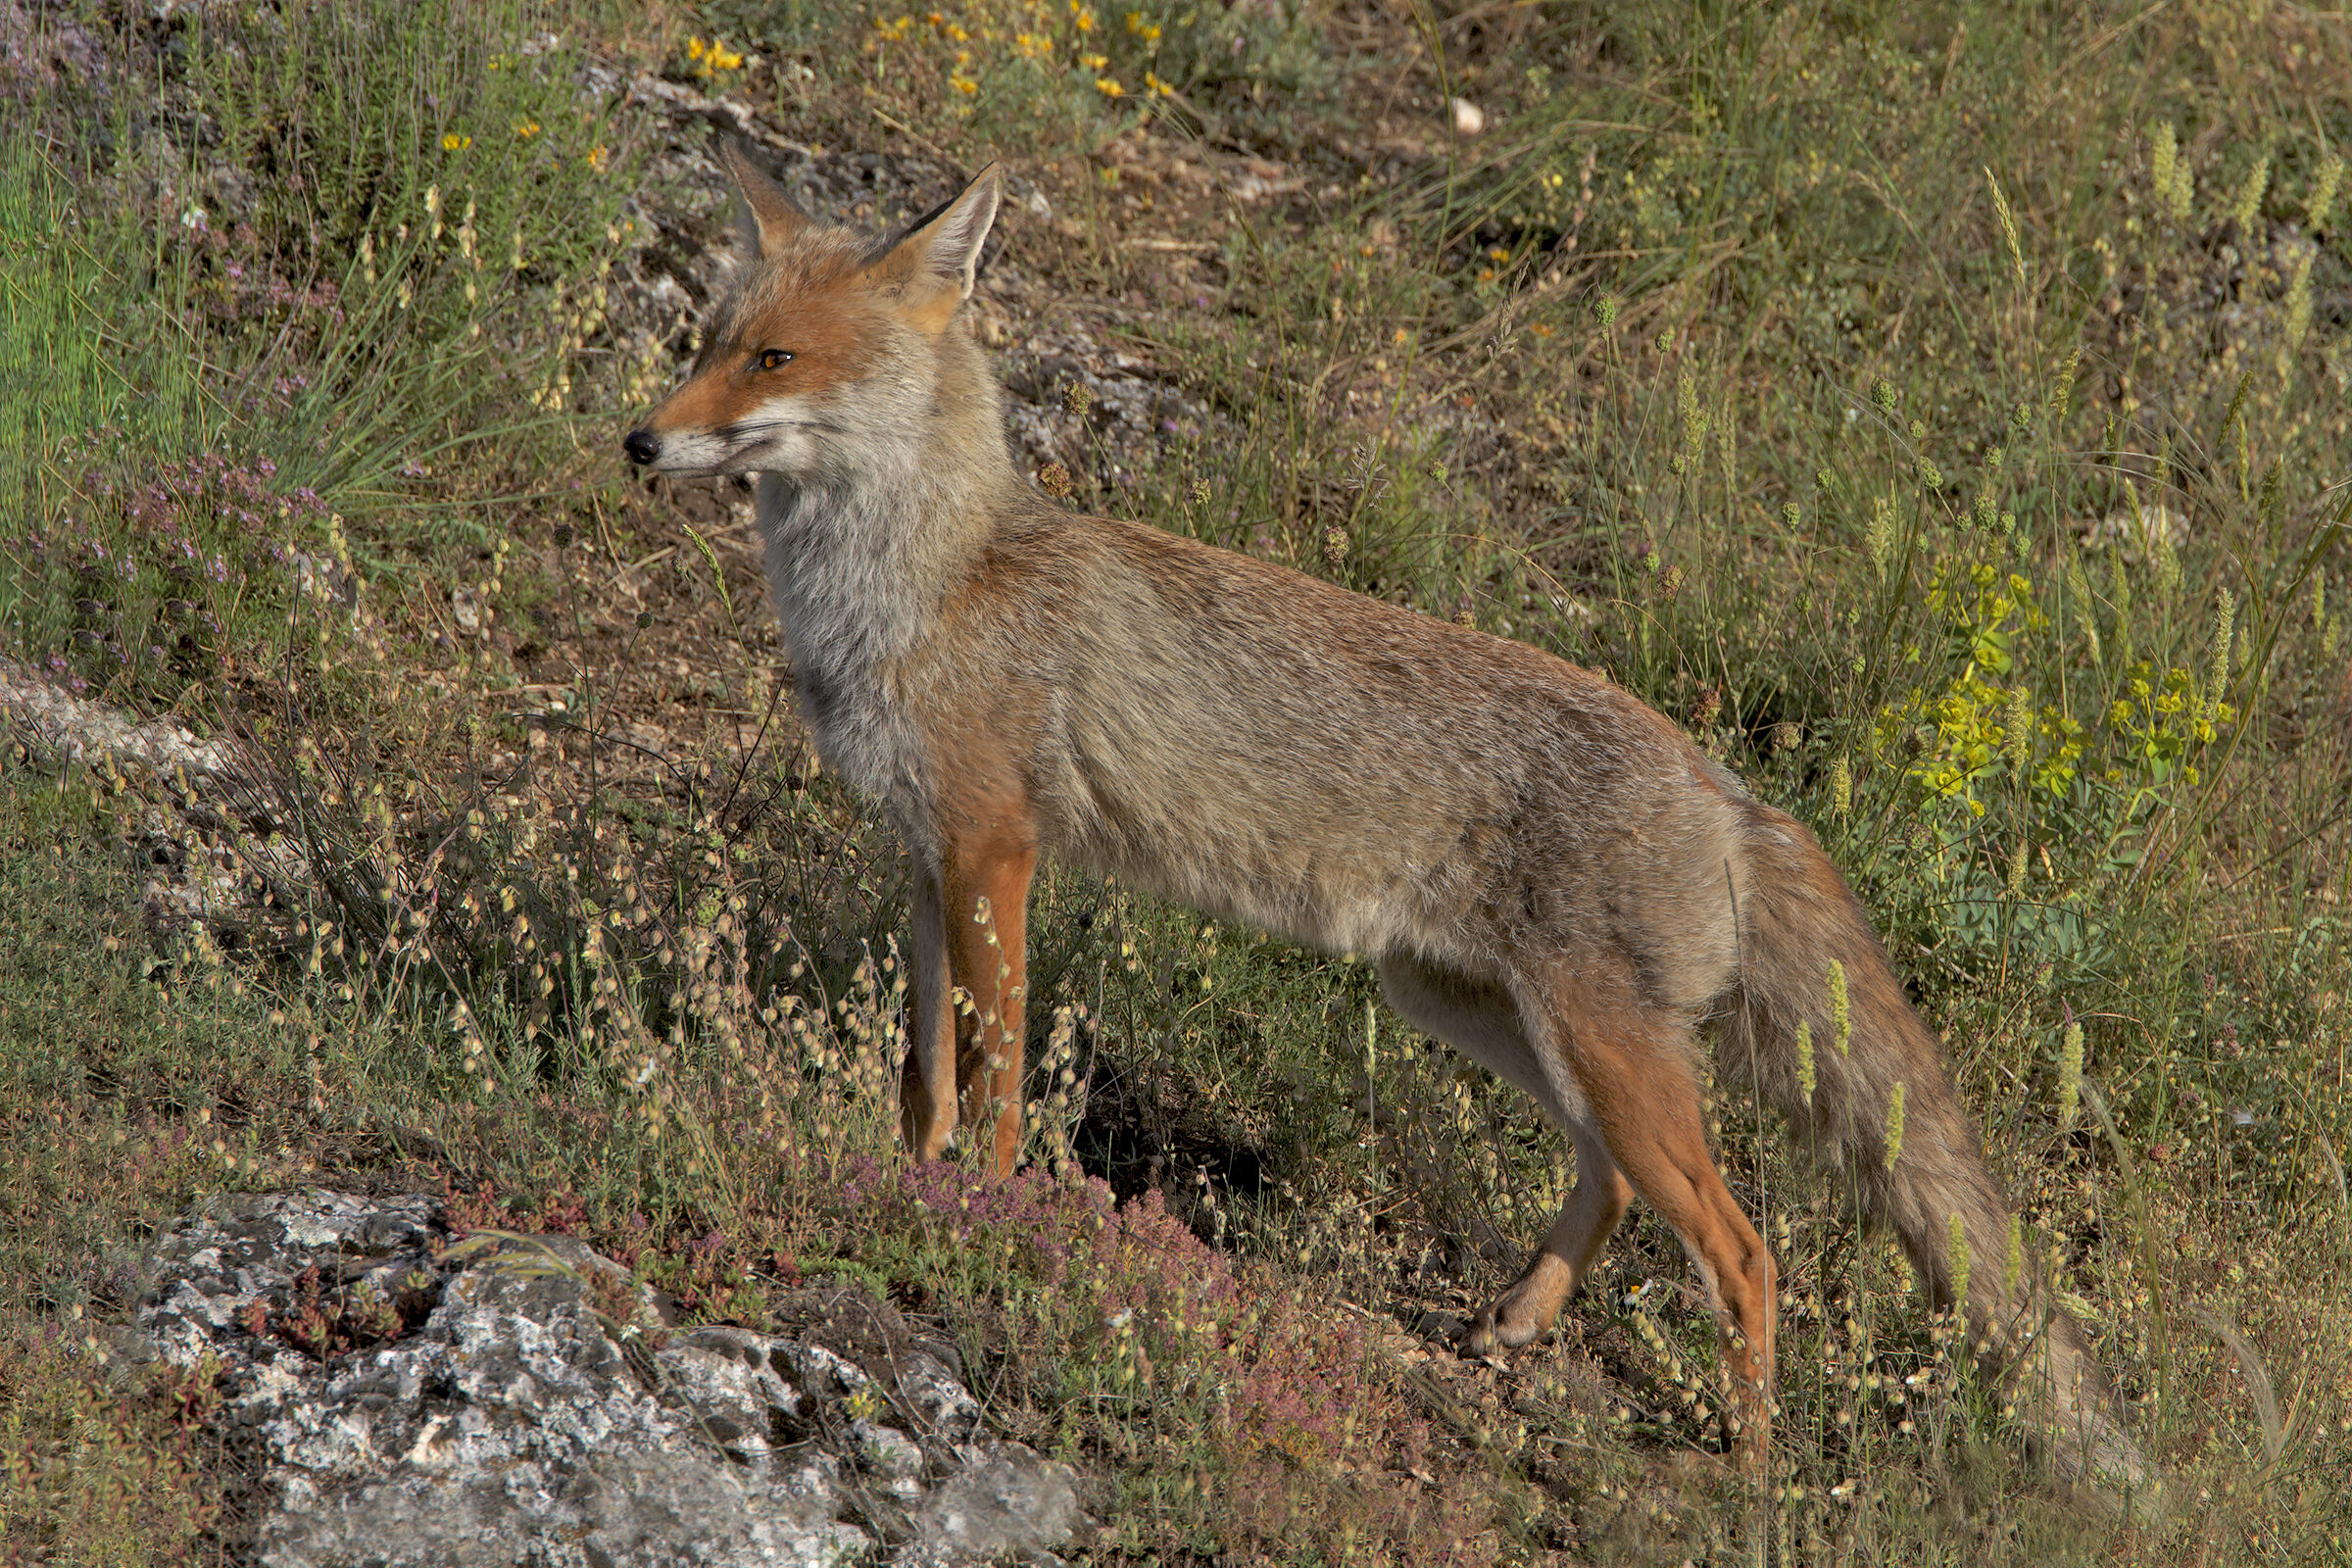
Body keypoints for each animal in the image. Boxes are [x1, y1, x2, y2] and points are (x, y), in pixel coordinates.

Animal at [623, 141, 2154, 1494]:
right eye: (705, 340)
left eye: (774, 361)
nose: (639, 439)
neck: (924, 585)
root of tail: (1728, 789)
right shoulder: (925, 860)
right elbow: (926, 1080)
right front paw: (910, 1192)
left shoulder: (995, 854)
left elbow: (995, 1088)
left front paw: (987, 1223)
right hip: (1483, 1012)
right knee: (1609, 1182)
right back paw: (1517, 1328)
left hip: (1599, 1049)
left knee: (1744, 1245)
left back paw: (1752, 1466)